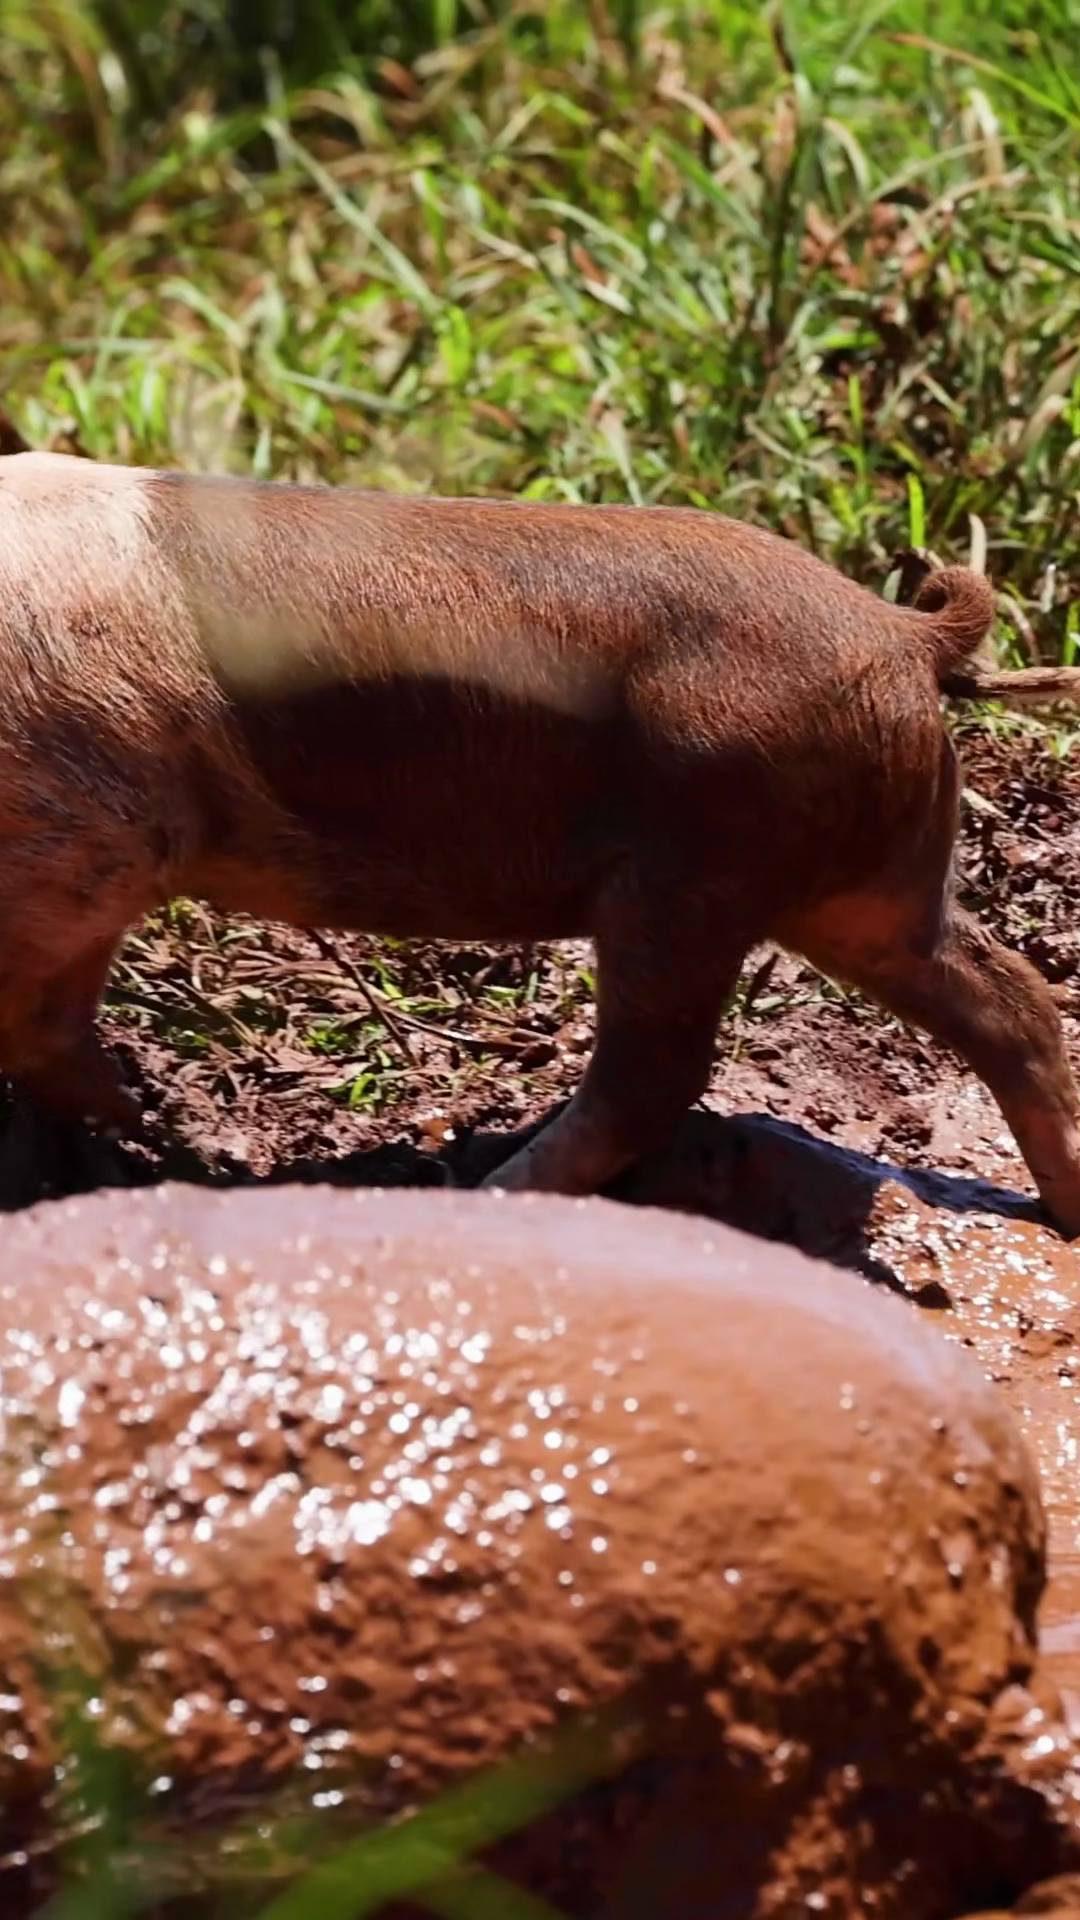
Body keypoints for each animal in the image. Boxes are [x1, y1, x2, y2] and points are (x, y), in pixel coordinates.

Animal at [1, 449, 1079, 1230]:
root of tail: (900, 630)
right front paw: (142, 1136)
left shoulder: (90, 836)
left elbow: (37, 1019)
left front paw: (149, 1142)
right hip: (864, 879)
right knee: (1010, 999)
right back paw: (1062, 1212)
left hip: (694, 870)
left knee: (652, 1076)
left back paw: (480, 1197)